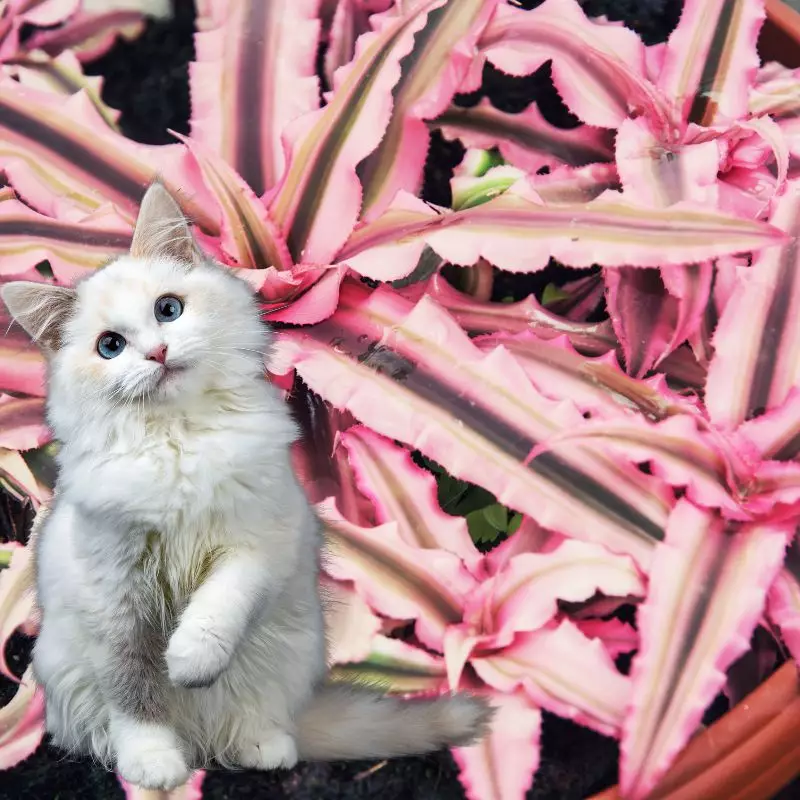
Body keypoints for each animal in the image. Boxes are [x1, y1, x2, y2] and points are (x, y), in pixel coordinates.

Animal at [1, 184, 494, 792]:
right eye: (110, 346)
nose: (157, 353)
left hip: (288, 649)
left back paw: (263, 746)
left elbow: (218, 608)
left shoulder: (258, 542)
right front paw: (153, 765)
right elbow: (135, 692)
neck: (179, 441)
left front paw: (188, 662)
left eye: (168, 309)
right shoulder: (115, 595)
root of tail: (202, 742)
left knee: (260, 720)